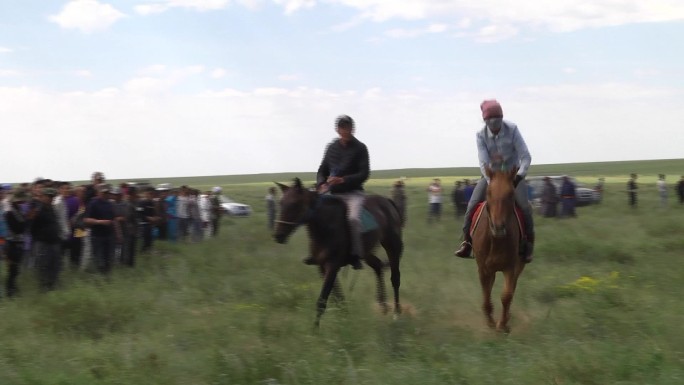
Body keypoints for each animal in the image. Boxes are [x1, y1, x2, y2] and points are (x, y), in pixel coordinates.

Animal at [272, 178, 400, 328]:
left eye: (295, 204)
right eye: (281, 203)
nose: (278, 236)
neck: (325, 226)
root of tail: (387, 201)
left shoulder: (332, 265)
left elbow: (323, 300)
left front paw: (315, 330)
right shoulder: (322, 267)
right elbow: (337, 297)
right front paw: (345, 319)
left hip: (392, 245)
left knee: (395, 278)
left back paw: (397, 314)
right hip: (367, 252)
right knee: (378, 266)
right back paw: (383, 305)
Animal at [472, 166, 528, 332]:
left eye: (511, 194)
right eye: (489, 192)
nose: (498, 227)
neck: (496, 240)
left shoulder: (510, 267)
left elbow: (506, 296)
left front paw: (502, 325)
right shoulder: (483, 269)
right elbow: (486, 295)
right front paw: (490, 323)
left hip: (518, 266)